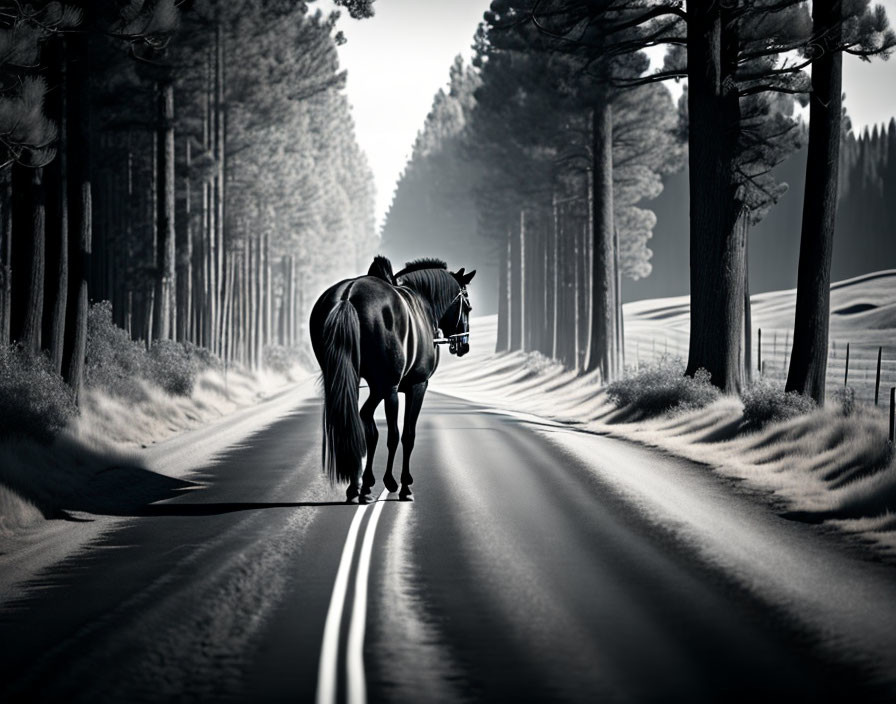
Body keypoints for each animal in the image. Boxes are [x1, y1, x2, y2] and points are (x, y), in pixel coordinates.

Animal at [310, 256, 476, 504]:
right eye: (467, 306)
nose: (464, 344)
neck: (422, 303)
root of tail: (348, 295)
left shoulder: (377, 386)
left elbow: (368, 426)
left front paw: (366, 483)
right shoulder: (413, 386)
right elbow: (405, 435)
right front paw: (402, 484)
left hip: (345, 379)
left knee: (353, 423)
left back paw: (354, 487)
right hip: (388, 388)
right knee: (393, 433)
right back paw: (386, 483)